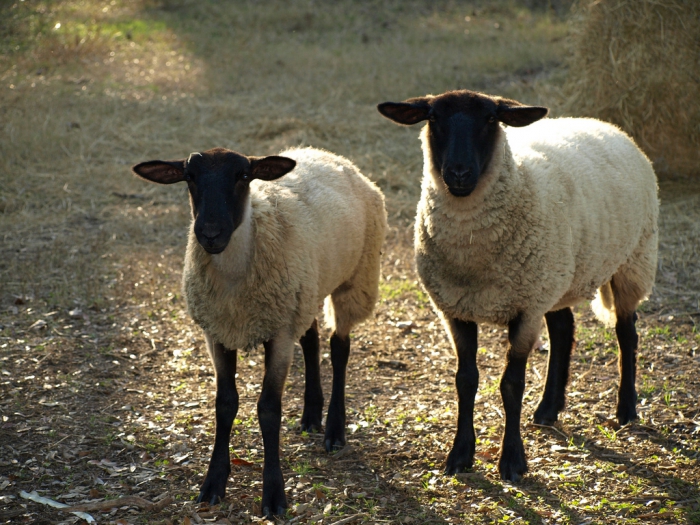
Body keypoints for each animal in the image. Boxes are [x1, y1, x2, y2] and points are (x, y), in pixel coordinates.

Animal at [131, 145, 388, 512]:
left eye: (243, 175)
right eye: (189, 176)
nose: (209, 233)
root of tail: (326, 153)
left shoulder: (278, 335)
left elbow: (268, 409)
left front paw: (274, 495)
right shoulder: (218, 332)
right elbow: (225, 404)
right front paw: (214, 482)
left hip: (355, 280)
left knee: (339, 348)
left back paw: (334, 431)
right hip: (305, 291)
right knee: (311, 340)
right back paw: (311, 415)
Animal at [378, 89, 656, 478]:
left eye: (490, 119)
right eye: (433, 118)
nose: (459, 173)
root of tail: (606, 124)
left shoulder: (525, 310)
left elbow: (511, 385)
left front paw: (512, 460)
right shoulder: (455, 309)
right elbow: (465, 380)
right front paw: (460, 454)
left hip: (633, 260)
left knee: (626, 333)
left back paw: (626, 409)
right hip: (556, 277)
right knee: (564, 330)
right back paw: (548, 409)